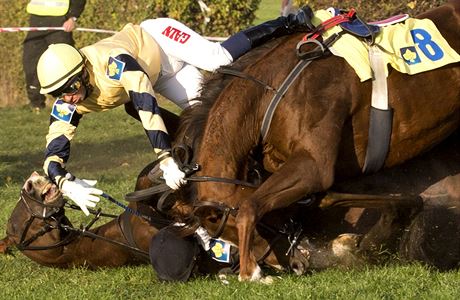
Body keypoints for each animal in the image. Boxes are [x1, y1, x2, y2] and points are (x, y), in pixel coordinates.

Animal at [171, 1, 460, 280]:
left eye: (225, 225)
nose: (295, 265)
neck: (267, 95)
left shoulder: (314, 165)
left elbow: (250, 206)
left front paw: (250, 272)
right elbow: (323, 199)